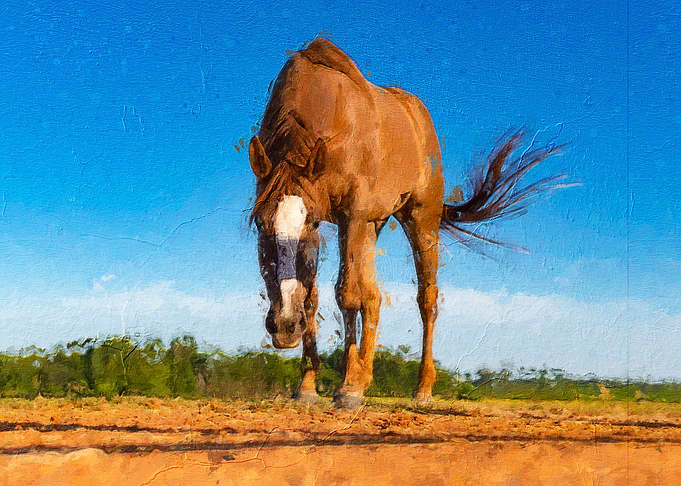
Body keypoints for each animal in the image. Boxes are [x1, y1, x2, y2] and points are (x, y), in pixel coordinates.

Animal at [248, 38, 568, 408]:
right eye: (260, 223)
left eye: (312, 221)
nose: (285, 325)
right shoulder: (345, 222)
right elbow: (314, 297)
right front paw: (309, 385)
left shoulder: (351, 215)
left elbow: (348, 295)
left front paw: (350, 387)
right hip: (373, 224)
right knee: (372, 295)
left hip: (419, 220)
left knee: (425, 299)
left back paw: (421, 388)